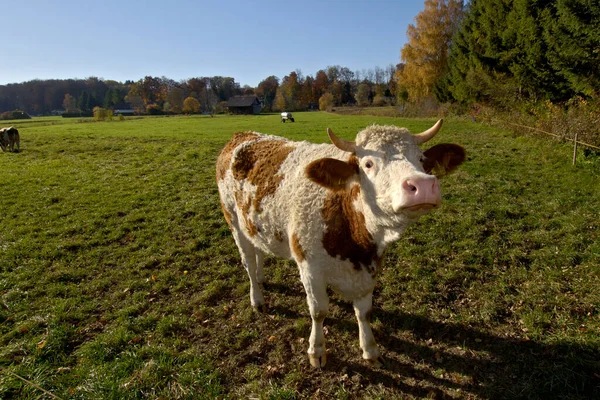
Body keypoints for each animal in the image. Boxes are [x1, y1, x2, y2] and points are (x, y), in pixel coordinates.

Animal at [214, 120, 464, 368]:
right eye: (368, 163)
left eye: (421, 159)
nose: (422, 185)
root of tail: (243, 134)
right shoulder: (310, 267)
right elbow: (318, 311)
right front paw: (317, 351)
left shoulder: (369, 268)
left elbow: (364, 312)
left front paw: (370, 350)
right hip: (233, 220)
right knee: (248, 260)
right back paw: (257, 298)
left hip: (254, 223)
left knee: (259, 251)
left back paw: (261, 278)